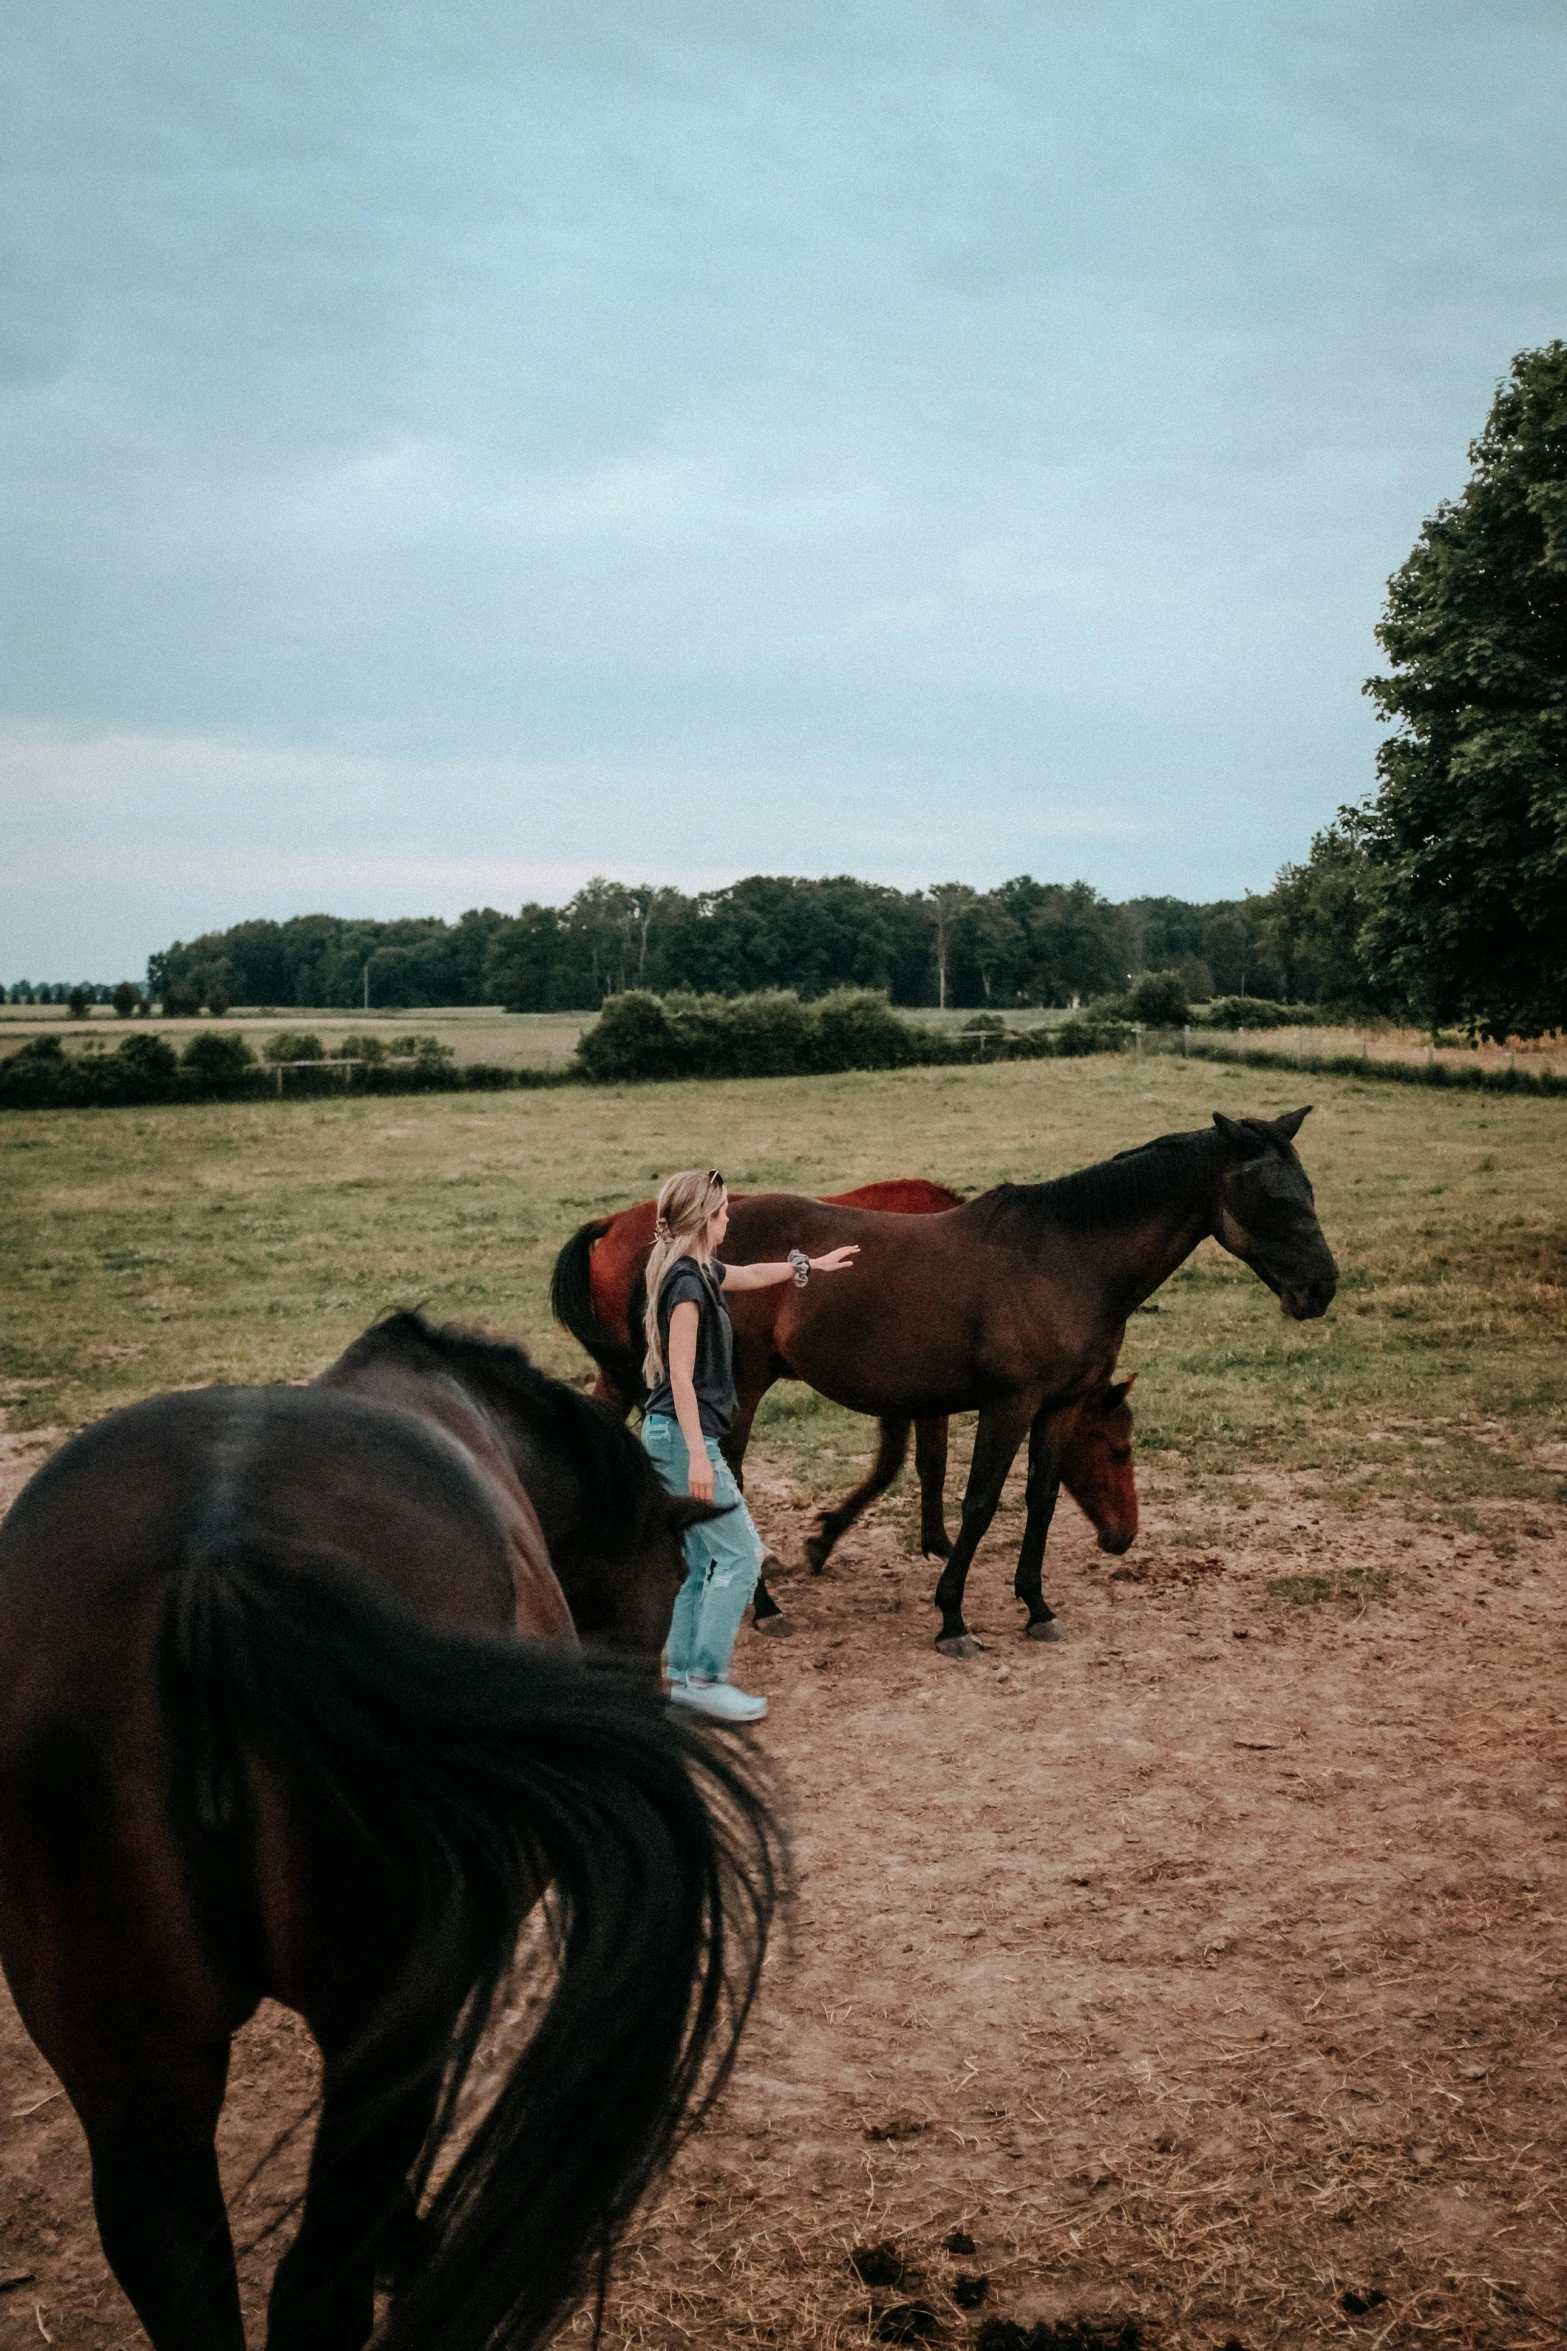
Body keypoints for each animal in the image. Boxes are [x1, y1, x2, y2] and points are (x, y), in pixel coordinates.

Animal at [606, 1114, 1334, 1655]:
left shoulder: (1058, 1405)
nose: (1321, 1289)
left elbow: (1040, 1498)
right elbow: (980, 1503)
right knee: (725, 1482)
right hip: (743, 1388)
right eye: (1274, 1199)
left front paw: (1036, 1606)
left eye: (1309, 1190)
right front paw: (953, 1618)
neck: (1069, 1257)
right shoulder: (1007, 1404)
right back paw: (763, 1606)